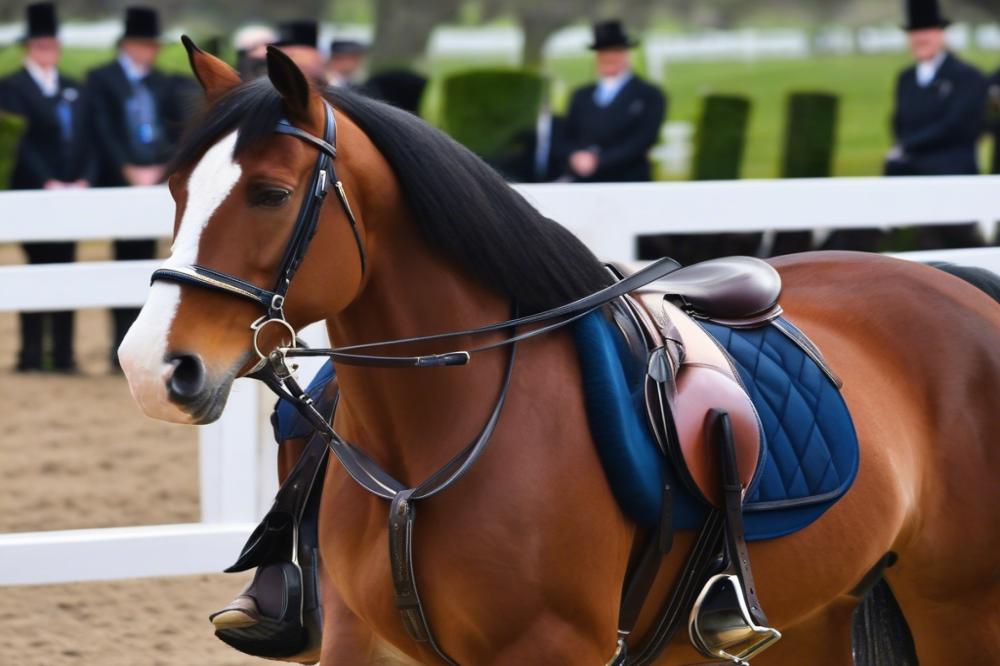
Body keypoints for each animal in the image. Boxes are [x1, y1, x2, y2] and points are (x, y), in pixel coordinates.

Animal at [119, 42, 1000, 664]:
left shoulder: (552, 648)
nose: (152, 367)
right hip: (821, 610)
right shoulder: (358, 642)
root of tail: (960, 285)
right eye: (177, 192)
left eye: (269, 194)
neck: (436, 442)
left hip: (961, 610)